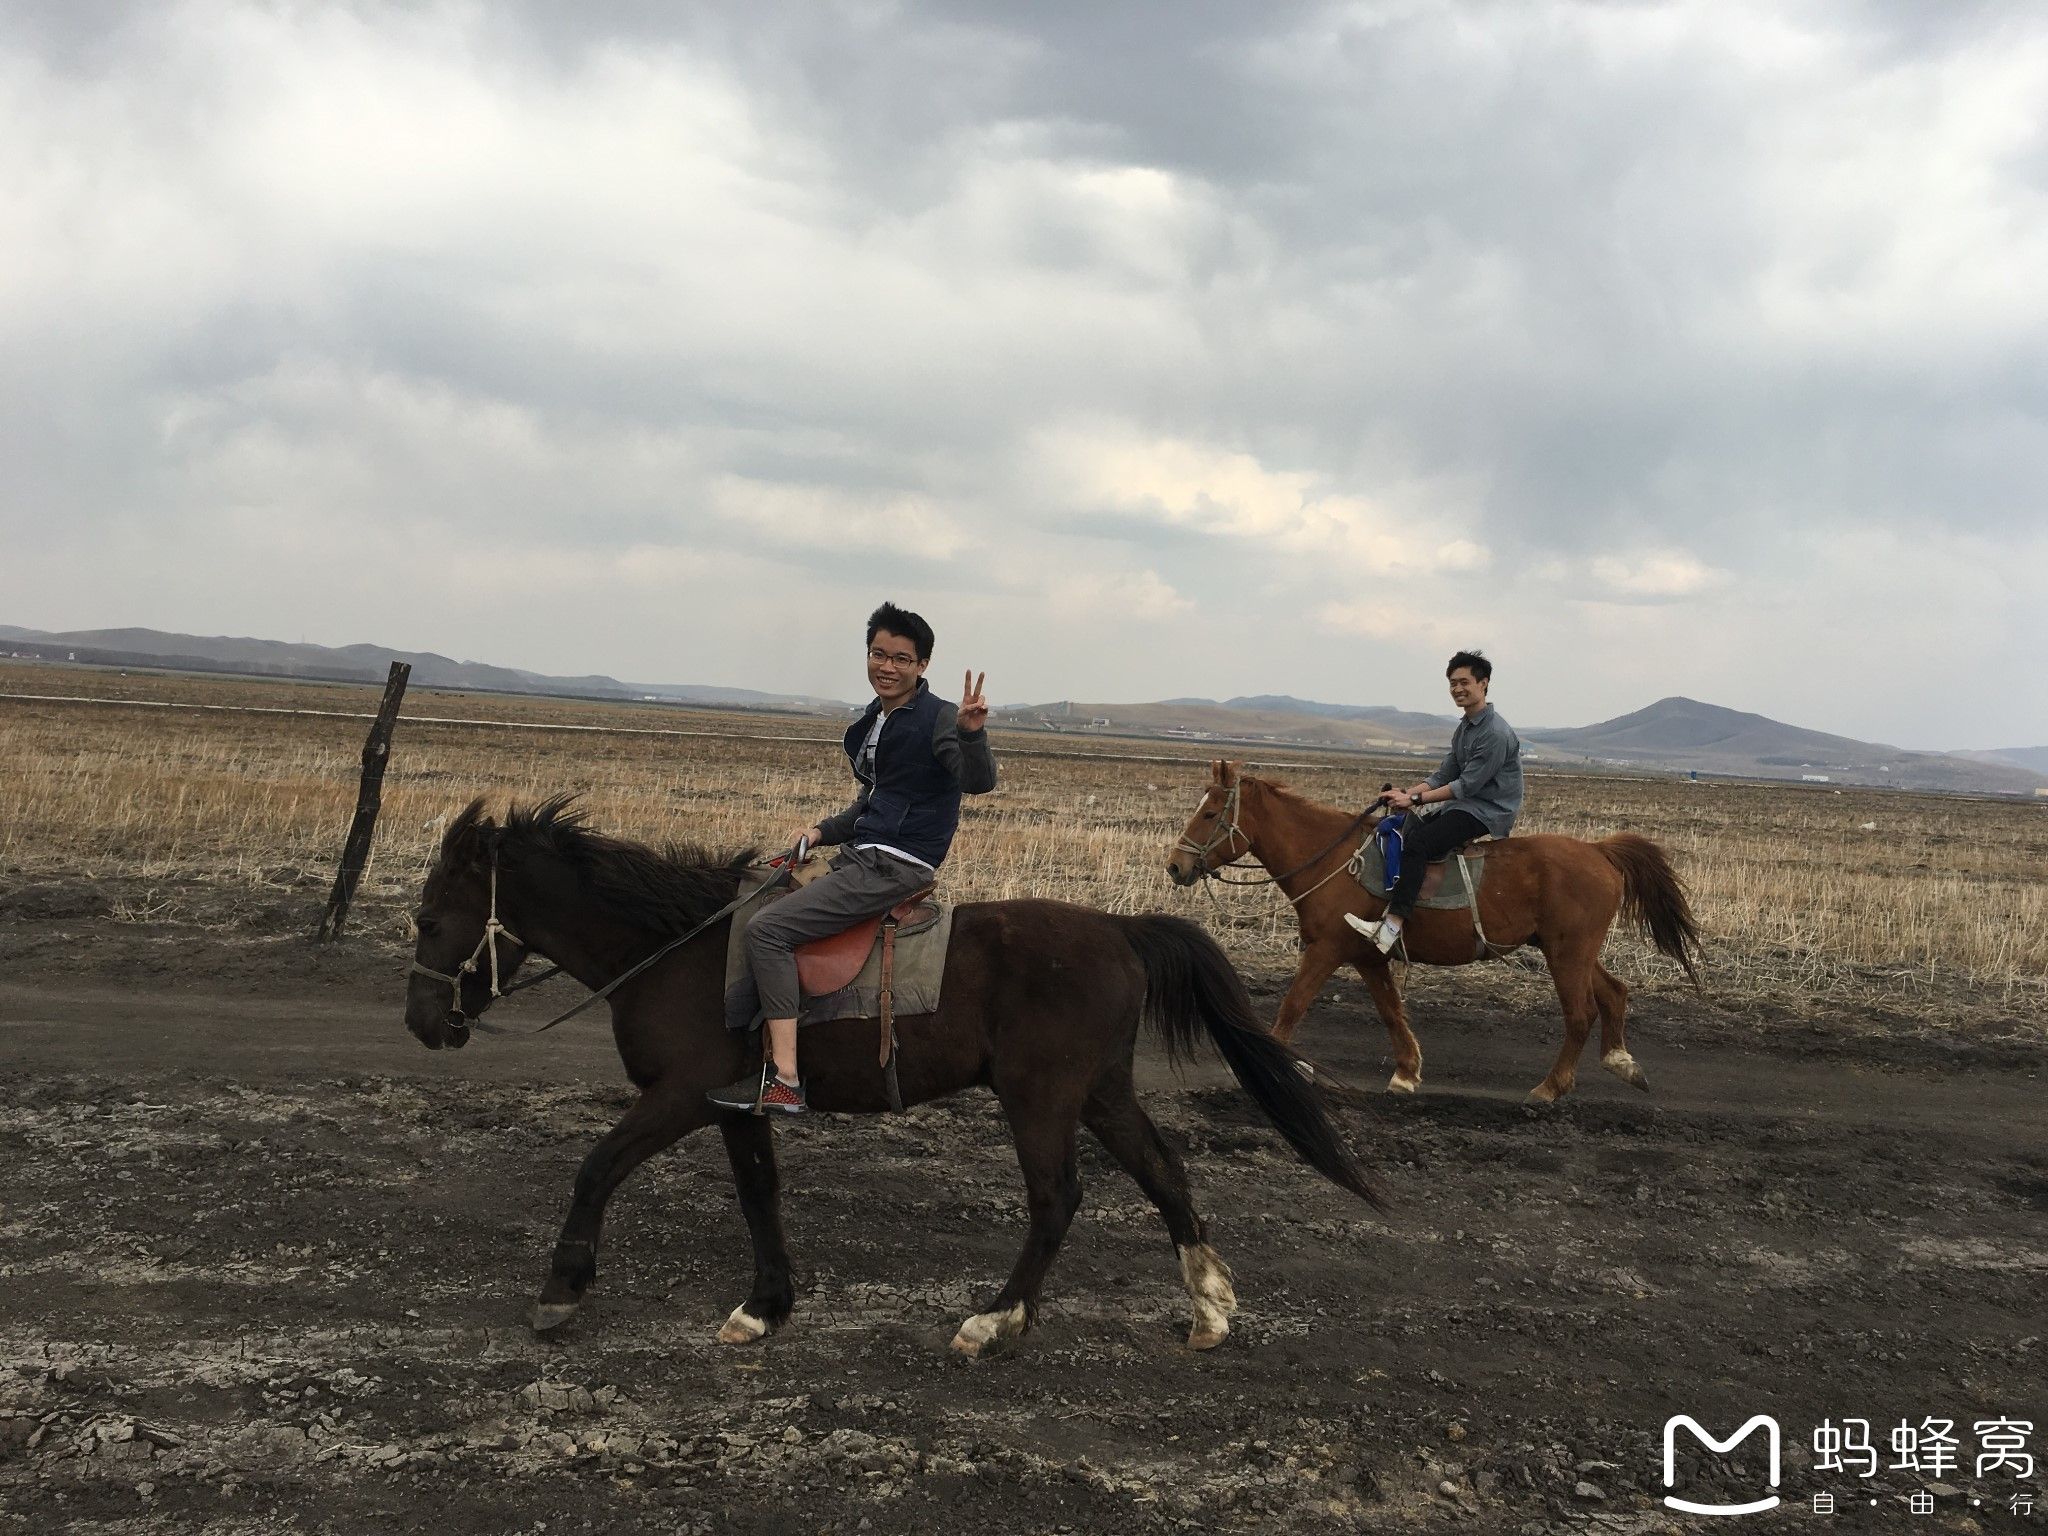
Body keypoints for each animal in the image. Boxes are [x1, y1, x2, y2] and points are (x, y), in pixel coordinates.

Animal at [401, 798, 1384, 1368]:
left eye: (431, 917)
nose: (421, 1024)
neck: (673, 949)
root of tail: (1118, 928)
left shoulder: (678, 1096)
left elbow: (596, 1168)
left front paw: (561, 1292)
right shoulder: (736, 1104)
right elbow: (759, 1193)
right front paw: (765, 1307)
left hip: (1039, 1096)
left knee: (1057, 1199)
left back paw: (994, 1321)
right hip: (1101, 1092)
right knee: (1164, 1174)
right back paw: (1209, 1309)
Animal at [1171, 765, 1695, 1105]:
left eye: (1210, 813)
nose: (1175, 866)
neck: (1330, 857)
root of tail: (1600, 852)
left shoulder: (1326, 949)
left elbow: (1292, 1006)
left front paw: (1269, 1073)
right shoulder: (1367, 957)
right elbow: (1390, 1011)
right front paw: (1406, 1073)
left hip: (1567, 954)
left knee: (1581, 1013)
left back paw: (1550, 1088)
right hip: (1572, 950)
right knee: (1614, 992)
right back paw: (1622, 1062)